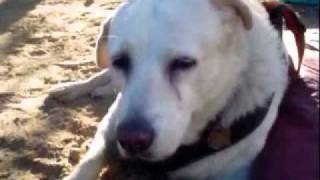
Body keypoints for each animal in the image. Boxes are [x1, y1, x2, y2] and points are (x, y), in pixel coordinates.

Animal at [49, 0, 288, 179]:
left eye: (183, 63)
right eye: (120, 62)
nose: (132, 141)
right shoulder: (110, 127)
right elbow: (87, 164)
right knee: (101, 75)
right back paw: (72, 88)